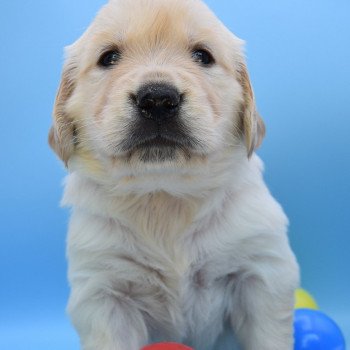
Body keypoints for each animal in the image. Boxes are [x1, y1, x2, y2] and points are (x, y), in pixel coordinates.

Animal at [49, 0, 300, 350]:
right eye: (108, 57)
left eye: (203, 56)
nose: (157, 99)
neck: (164, 194)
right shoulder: (105, 290)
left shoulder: (261, 273)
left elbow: (267, 335)